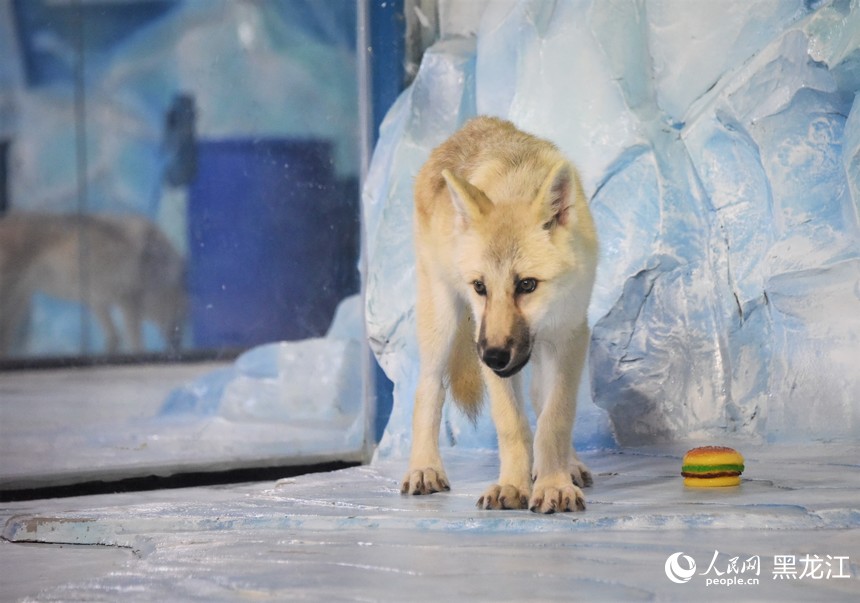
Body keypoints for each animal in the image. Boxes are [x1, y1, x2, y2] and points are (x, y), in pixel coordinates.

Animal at [0, 214, 183, 356]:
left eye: (183, 320)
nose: (176, 344)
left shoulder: (99, 302)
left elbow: (115, 337)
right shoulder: (125, 302)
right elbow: (133, 343)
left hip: (20, 300)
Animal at [404, 117, 596, 516]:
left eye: (527, 285)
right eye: (480, 287)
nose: (493, 356)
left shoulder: (570, 337)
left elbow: (555, 418)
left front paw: (554, 484)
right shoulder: (485, 340)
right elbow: (513, 425)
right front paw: (512, 486)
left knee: (541, 401)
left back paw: (568, 466)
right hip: (441, 324)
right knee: (428, 389)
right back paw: (424, 468)